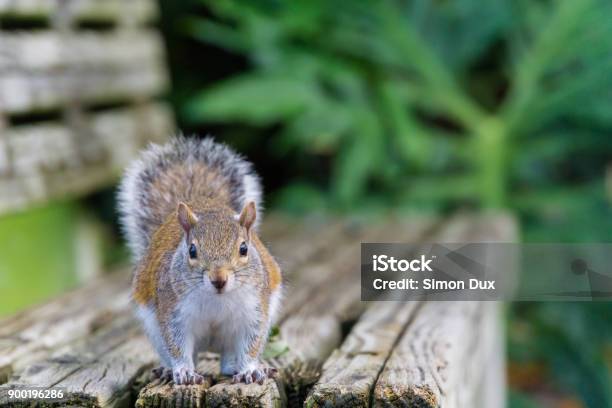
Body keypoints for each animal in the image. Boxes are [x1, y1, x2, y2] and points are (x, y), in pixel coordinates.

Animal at [117, 137, 282, 386]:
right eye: (192, 250)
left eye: (244, 248)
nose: (219, 280)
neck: (216, 299)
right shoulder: (173, 312)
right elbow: (177, 345)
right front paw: (184, 371)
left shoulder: (254, 311)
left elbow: (251, 344)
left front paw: (250, 370)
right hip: (153, 327)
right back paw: (168, 370)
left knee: (229, 357)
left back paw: (235, 367)